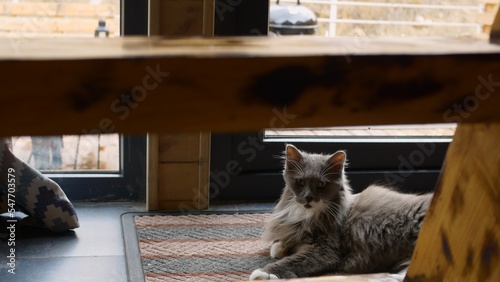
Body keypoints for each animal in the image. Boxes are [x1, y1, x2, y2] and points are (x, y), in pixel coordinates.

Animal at [250, 145, 434, 280]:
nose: (308, 198)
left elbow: (290, 262)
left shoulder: (323, 250)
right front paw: (279, 246)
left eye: (322, 184)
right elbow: (285, 239)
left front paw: (263, 273)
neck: (306, 216)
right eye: (300, 182)